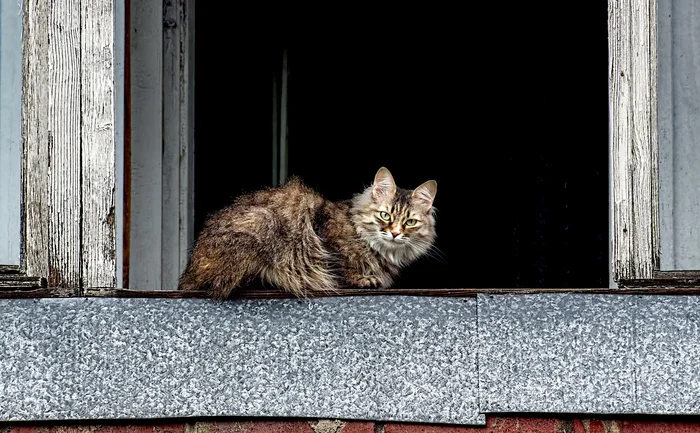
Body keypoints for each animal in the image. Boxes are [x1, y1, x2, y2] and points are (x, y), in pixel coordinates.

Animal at [178, 167, 434, 298]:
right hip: (265, 222)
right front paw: (363, 279)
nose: (395, 233)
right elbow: (341, 266)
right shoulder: (325, 238)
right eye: (385, 216)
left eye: (410, 222)